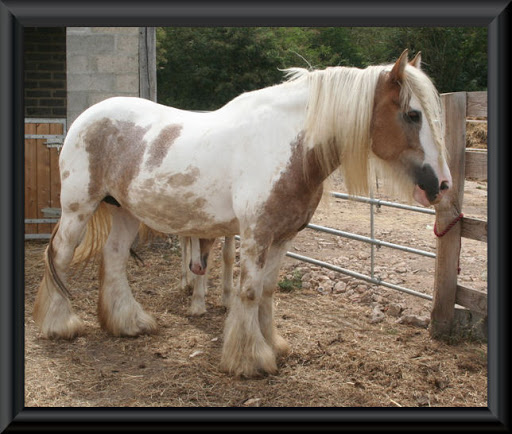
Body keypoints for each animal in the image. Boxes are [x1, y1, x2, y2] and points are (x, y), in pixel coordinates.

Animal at [33, 50, 452, 376]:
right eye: (412, 115)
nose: (443, 184)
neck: (284, 144)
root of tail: (87, 117)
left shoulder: (283, 237)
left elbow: (267, 291)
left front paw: (274, 345)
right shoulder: (255, 235)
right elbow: (248, 292)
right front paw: (250, 360)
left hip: (124, 212)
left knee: (114, 259)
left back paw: (128, 324)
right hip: (77, 208)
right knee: (59, 256)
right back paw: (59, 325)